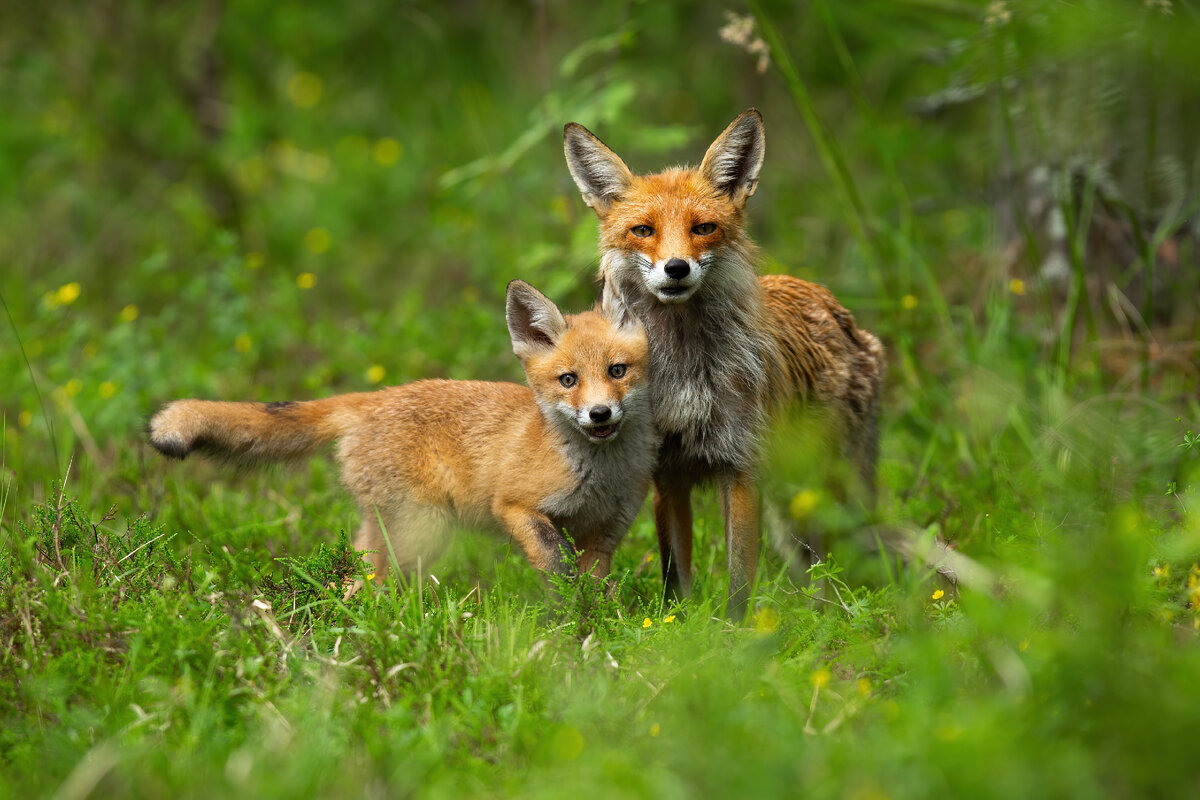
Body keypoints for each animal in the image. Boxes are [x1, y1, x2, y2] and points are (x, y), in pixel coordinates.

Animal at [150, 280, 662, 587]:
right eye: (568, 380)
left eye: (617, 371)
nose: (599, 414)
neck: (600, 477)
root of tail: (369, 398)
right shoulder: (515, 506)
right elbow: (557, 568)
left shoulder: (607, 532)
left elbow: (594, 589)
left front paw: (594, 630)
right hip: (422, 529)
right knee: (367, 584)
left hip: (388, 528)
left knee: (353, 573)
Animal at [566, 109, 888, 618]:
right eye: (643, 231)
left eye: (703, 228)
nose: (676, 268)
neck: (684, 379)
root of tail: (832, 304)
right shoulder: (666, 475)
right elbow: (675, 574)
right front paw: (680, 625)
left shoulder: (740, 467)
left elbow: (739, 579)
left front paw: (736, 633)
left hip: (830, 482)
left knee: (834, 556)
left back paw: (827, 612)